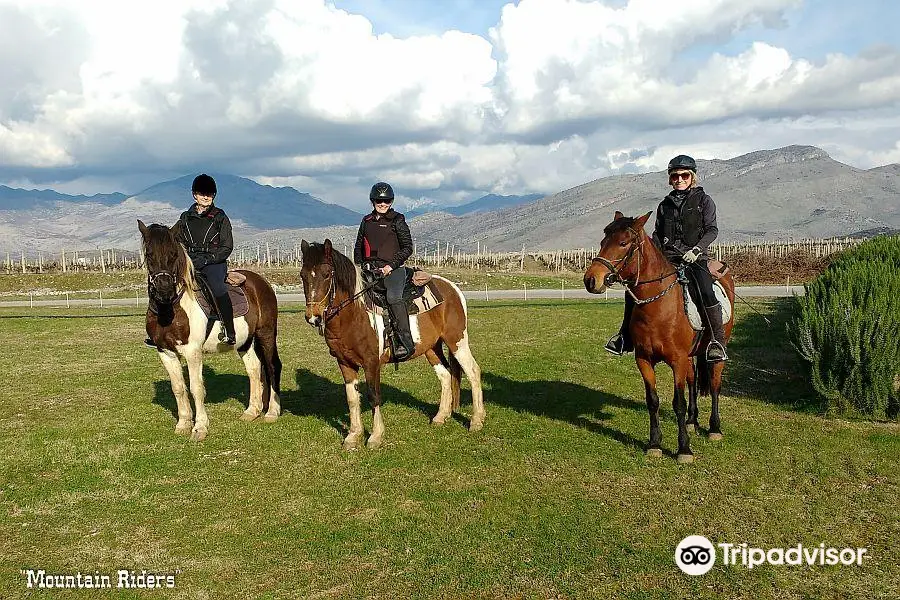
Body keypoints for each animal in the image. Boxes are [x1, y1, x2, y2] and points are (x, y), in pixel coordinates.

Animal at [139, 220, 282, 440]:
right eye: (149, 254)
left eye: (173, 253)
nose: (164, 289)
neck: (171, 308)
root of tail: (261, 282)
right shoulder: (165, 352)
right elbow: (178, 388)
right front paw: (183, 423)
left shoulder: (192, 351)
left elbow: (196, 388)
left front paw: (200, 428)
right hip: (245, 341)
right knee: (254, 369)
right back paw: (252, 411)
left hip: (266, 333)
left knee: (273, 366)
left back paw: (272, 412)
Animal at [298, 239, 486, 450]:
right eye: (303, 275)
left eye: (327, 274)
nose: (312, 316)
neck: (354, 313)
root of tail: (452, 288)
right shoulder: (344, 363)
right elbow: (352, 398)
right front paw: (353, 436)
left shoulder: (371, 362)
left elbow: (373, 396)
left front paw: (375, 436)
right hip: (432, 348)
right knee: (445, 376)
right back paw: (440, 417)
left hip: (457, 340)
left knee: (473, 371)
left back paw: (477, 420)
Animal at [584, 211, 732, 464]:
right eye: (603, 242)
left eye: (623, 243)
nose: (591, 280)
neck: (659, 306)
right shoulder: (644, 360)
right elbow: (652, 400)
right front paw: (654, 444)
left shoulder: (677, 360)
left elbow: (678, 403)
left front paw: (684, 449)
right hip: (690, 356)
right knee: (693, 380)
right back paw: (692, 422)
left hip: (716, 352)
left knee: (714, 385)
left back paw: (714, 428)